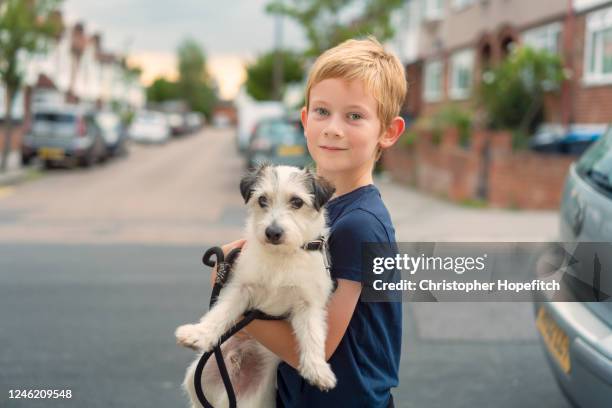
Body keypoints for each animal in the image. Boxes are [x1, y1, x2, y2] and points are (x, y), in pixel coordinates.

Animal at [177, 164, 338, 406]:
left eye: (297, 202)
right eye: (262, 200)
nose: (272, 232)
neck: (281, 257)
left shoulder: (309, 303)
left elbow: (312, 335)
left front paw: (317, 369)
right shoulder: (240, 289)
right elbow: (220, 313)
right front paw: (199, 333)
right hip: (197, 378)